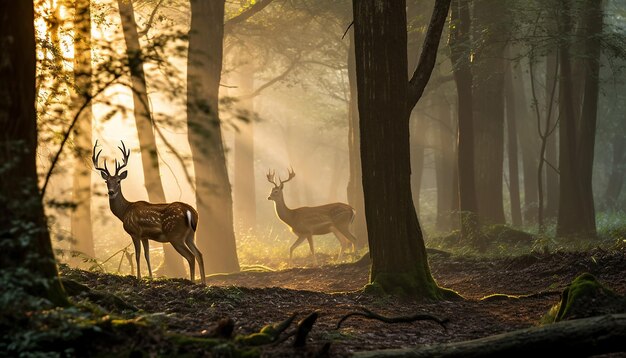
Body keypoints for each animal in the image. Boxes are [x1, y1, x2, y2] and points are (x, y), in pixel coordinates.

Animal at [92, 140, 205, 282]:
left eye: (118, 181)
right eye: (106, 181)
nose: (111, 192)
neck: (124, 212)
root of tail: (190, 211)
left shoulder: (135, 232)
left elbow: (138, 255)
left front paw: (139, 277)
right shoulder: (145, 236)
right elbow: (147, 255)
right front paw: (150, 277)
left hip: (175, 234)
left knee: (191, 256)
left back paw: (193, 281)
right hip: (190, 234)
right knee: (199, 254)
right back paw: (203, 282)